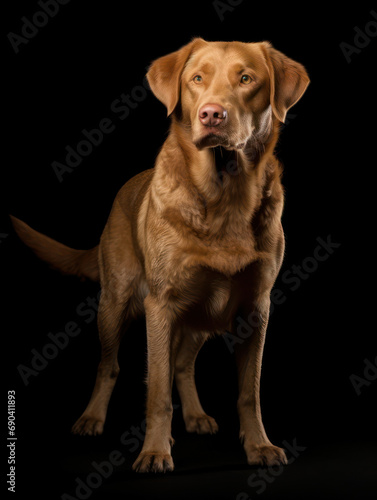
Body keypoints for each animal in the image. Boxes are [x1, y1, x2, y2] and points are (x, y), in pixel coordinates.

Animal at [11, 39, 308, 472]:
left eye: (246, 79)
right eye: (197, 78)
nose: (211, 114)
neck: (225, 196)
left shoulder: (256, 307)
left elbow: (248, 392)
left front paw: (259, 446)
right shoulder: (160, 305)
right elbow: (157, 390)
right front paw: (154, 451)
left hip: (203, 316)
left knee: (182, 363)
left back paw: (196, 416)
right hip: (115, 303)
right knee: (110, 365)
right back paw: (92, 418)